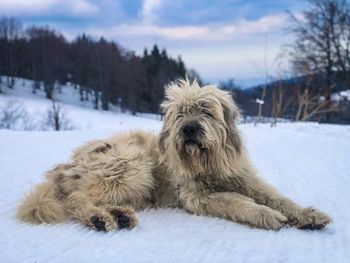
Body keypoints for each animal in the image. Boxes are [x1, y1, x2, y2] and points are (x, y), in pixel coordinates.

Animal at [16, 79, 332, 232]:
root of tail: (66, 166)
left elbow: (277, 197)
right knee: (77, 200)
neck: (207, 163)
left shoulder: (245, 179)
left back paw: (119, 215)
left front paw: (307, 214)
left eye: (205, 111)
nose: (189, 128)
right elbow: (237, 202)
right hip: (129, 165)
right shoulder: (197, 196)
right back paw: (99, 218)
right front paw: (265, 215)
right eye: (180, 113)